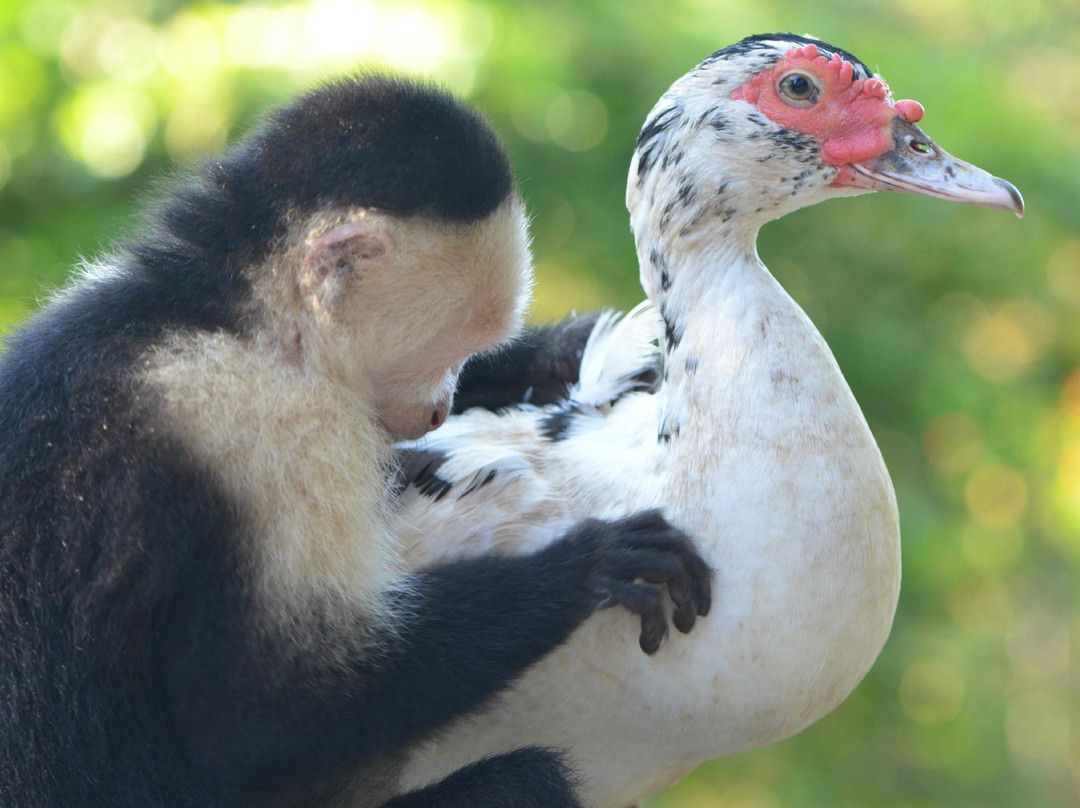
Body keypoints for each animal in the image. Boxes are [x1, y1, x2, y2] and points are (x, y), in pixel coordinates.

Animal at [0, 77, 708, 808]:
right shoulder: (277, 426)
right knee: (527, 780)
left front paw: (557, 356)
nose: (441, 406)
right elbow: (261, 720)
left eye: (466, 352)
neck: (227, 321)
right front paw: (587, 566)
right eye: (445, 346)